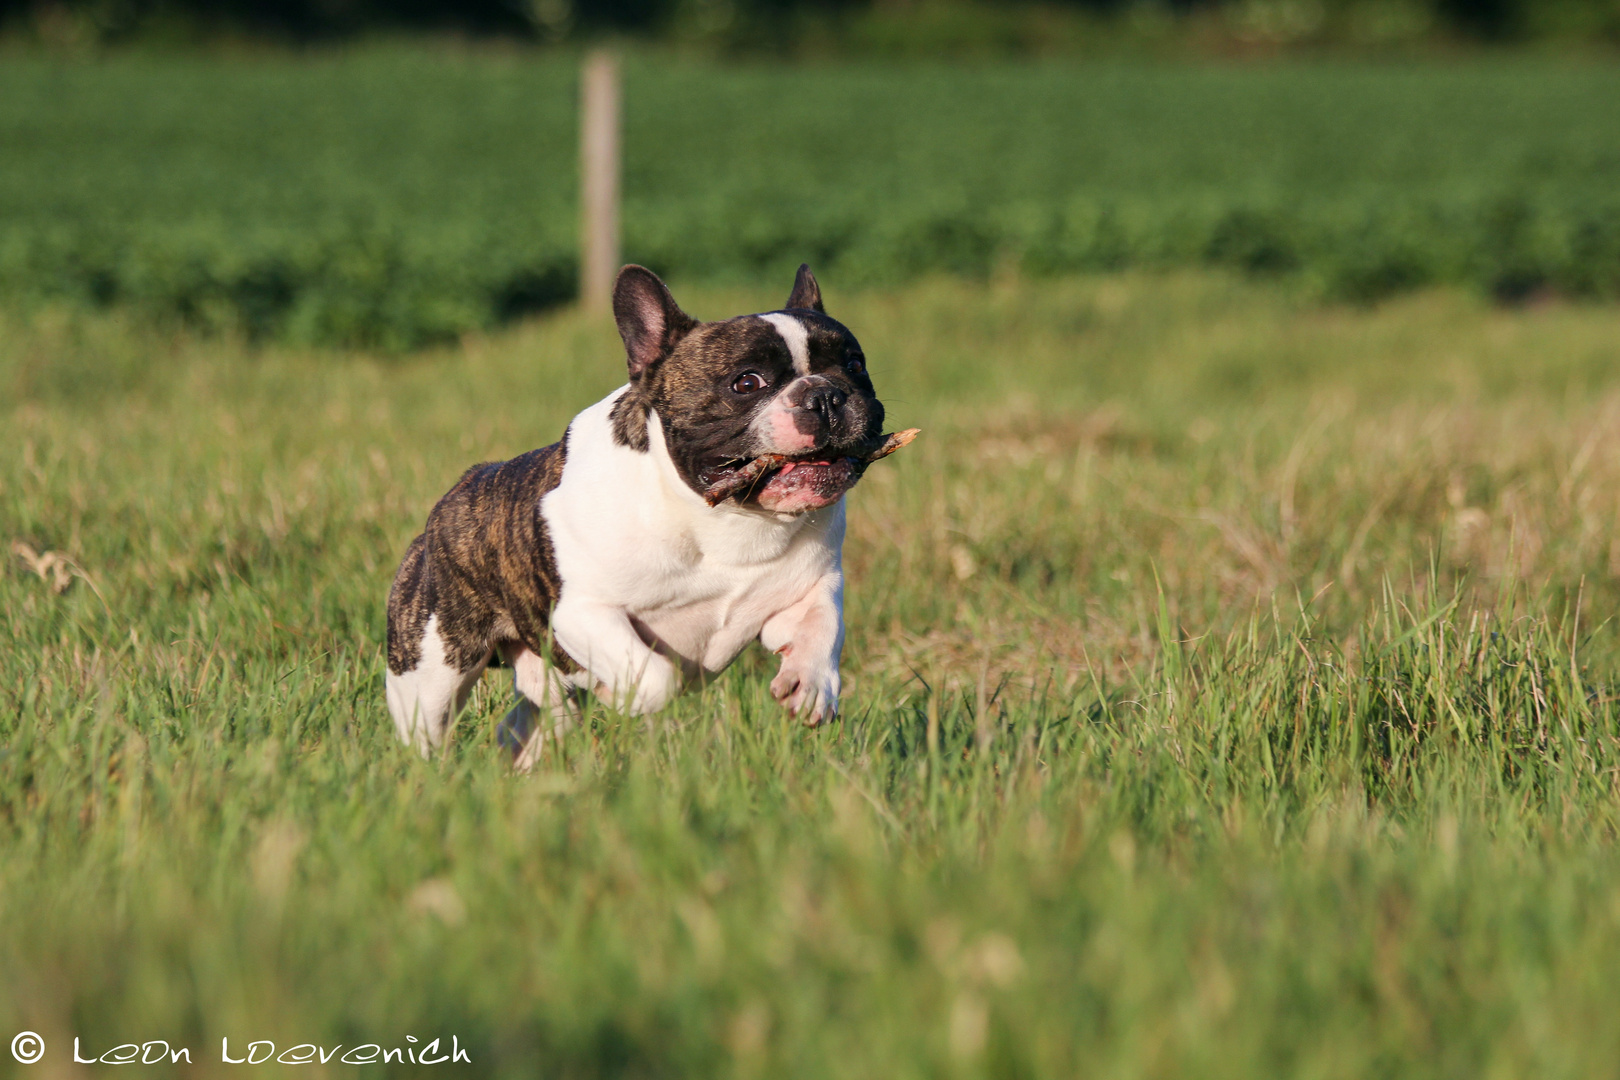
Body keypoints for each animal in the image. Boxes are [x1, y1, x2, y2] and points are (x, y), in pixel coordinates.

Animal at [388, 265, 900, 764]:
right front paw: (621, 693)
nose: (826, 394)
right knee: (428, 729)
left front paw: (811, 684)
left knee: (528, 723)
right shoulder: (582, 612)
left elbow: (822, 626)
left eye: (855, 365)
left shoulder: (811, 586)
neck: (725, 519)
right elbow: (655, 677)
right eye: (746, 382)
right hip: (431, 671)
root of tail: (449, 502)